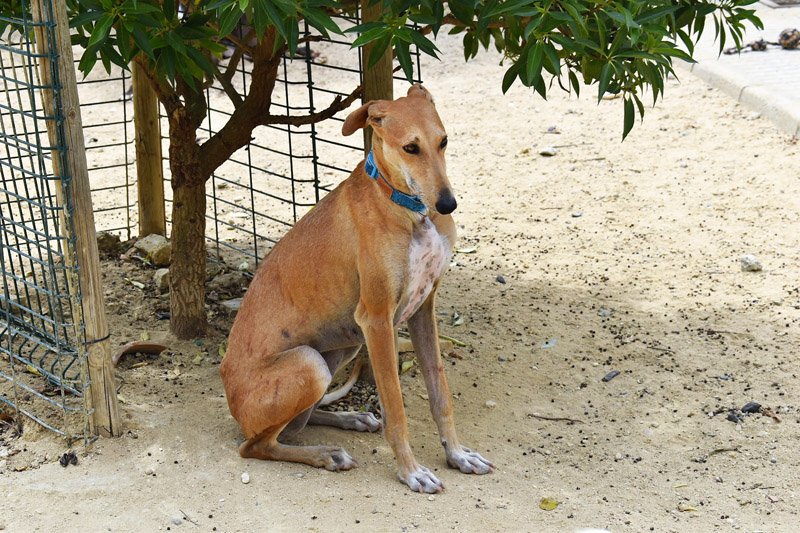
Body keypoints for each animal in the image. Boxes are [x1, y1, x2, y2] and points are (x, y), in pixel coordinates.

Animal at [220, 84, 493, 493]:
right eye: (410, 148)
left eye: (443, 141)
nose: (447, 204)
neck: (405, 208)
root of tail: (232, 401)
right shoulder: (376, 319)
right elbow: (396, 408)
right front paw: (411, 472)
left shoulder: (423, 308)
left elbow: (440, 394)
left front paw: (458, 455)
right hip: (311, 362)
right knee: (256, 445)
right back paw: (325, 454)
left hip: (342, 347)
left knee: (297, 424)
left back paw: (351, 419)